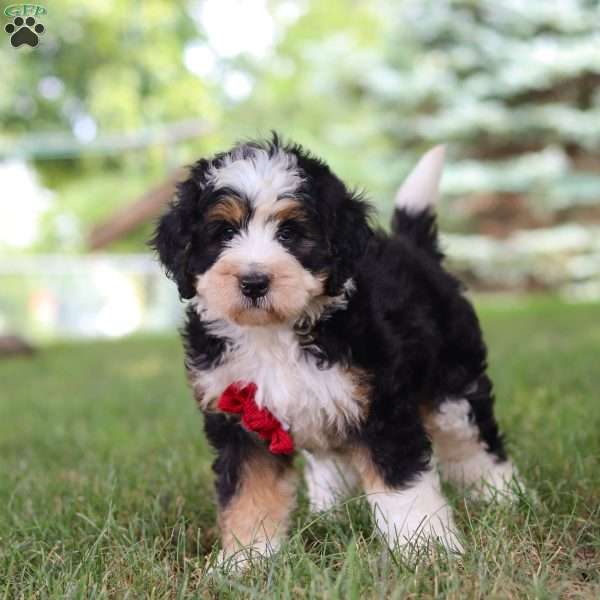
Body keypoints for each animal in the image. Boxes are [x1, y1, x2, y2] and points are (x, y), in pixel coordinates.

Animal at [151, 134, 520, 564]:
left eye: (290, 233)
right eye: (224, 232)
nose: (254, 282)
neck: (275, 333)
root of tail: (414, 249)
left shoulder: (380, 405)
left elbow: (402, 485)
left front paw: (427, 550)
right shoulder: (241, 419)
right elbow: (249, 494)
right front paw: (247, 560)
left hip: (453, 385)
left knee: (475, 444)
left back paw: (504, 497)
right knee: (329, 459)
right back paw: (330, 513)